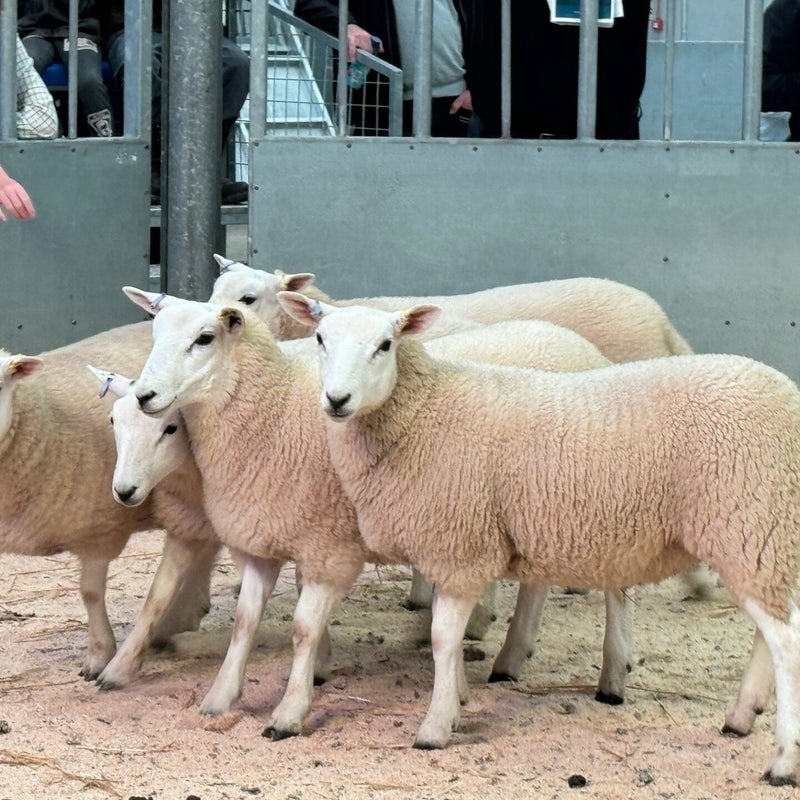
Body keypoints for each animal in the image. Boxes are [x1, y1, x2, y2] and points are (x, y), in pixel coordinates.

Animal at [277, 293, 800, 787]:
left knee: (786, 641)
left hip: (749, 525)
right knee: (769, 632)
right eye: (320, 338)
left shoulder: (460, 546)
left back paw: (781, 761)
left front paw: (435, 726)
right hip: (759, 536)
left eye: (385, 345)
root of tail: (786, 391)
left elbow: (443, 638)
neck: (424, 409)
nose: (337, 399)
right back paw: (740, 717)